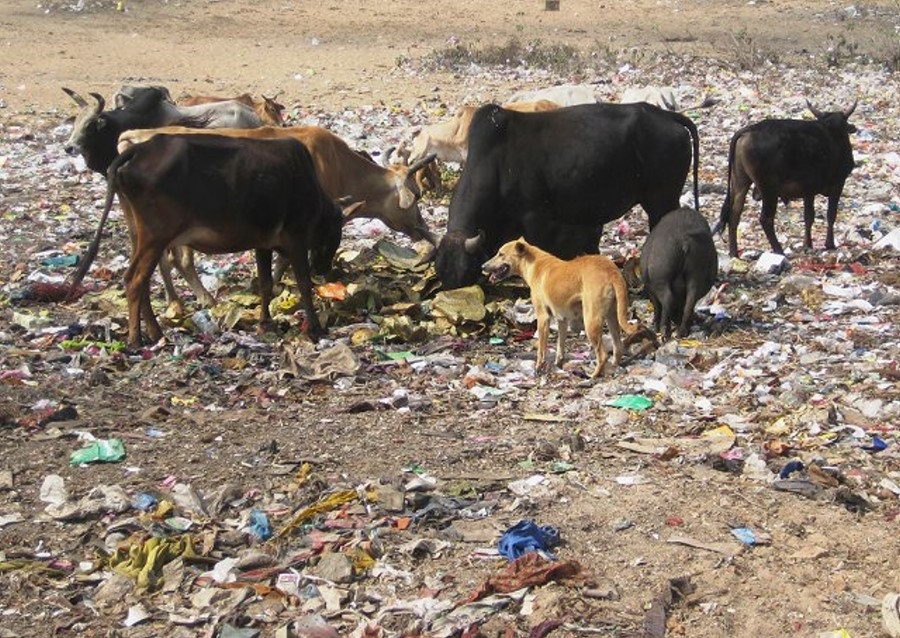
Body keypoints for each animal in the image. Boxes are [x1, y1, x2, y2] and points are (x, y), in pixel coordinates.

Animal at [67, 136, 344, 352]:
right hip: (156, 236)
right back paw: (137, 339)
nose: (323, 268)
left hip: (139, 233)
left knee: (140, 281)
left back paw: (156, 333)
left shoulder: (263, 243)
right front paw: (316, 328)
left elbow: (266, 284)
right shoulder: (296, 238)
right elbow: (304, 285)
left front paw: (265, 322)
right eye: (334, 234)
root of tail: (140, 149)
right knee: (134, 280)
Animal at [432, 103, 700, 290]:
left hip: (661, 199)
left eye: (467, 274)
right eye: (441, 275)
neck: (495, 163)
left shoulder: (536, 217)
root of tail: (665, 115)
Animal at [482, 240, 636, 380]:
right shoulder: (562, 319)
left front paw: (538, 368)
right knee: (618, 347)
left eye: (501, 254)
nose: (482, 266)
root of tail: (612, 271)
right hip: (612, 318)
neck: (533, 263)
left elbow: (541, 349)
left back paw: (593, 375)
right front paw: (558, 364)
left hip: (591, 321)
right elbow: (560, 346)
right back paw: (613, 367)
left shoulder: (543, 318)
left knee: (603, 355)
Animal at [712, 101, 856, 256]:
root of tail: (750, 129)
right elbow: (831, 215)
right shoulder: (838, 184)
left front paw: (807, 245)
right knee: (765, 219)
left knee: (734, 215)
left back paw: (734, 253)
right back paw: (778, 250)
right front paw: (829, 244)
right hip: (768, 189)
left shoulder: (809, 190)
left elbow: (809, 217)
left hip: (740, 182)